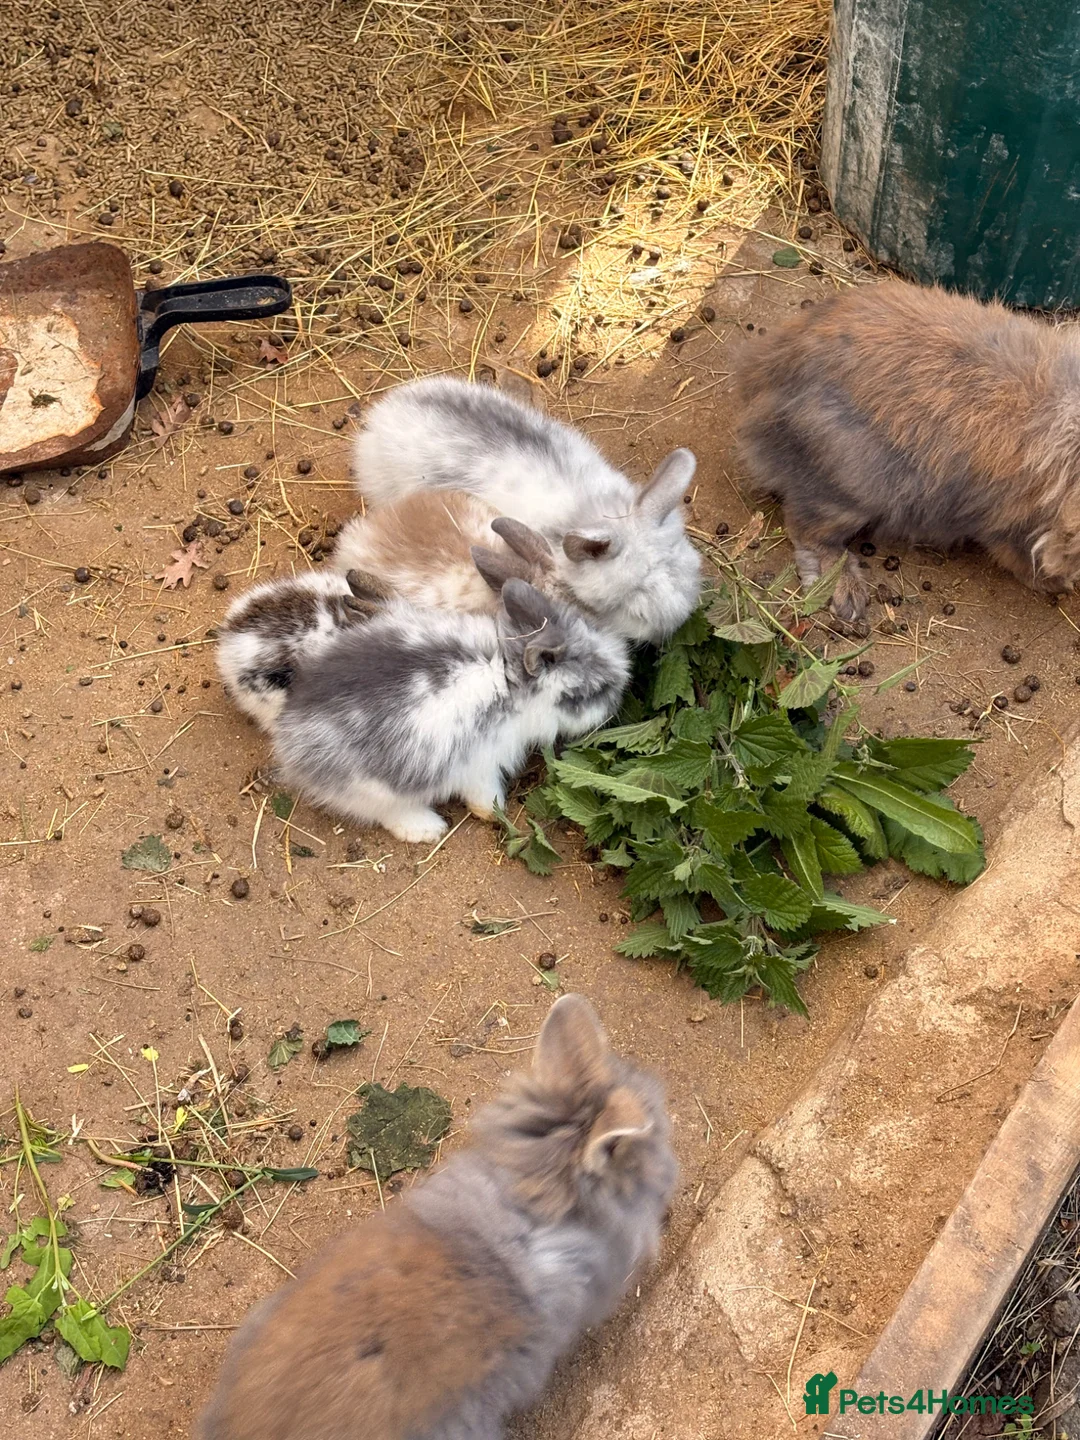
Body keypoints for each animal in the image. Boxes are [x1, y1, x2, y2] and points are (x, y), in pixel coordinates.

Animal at [271, 573, 630, 844]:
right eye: (592, 692)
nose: (617, 703)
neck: (508, 682)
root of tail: (291, 741)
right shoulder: (483, 763)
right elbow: (483, 795)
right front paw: (494, 812)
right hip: (377, 788)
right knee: (384, 812)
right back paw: (428, 828)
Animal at [735, 280, 1080, 622]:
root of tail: (762, 378)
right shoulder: (1012, 521)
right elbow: (1021, 554)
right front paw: (1055, 583)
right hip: (854, 488)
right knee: (808, 530)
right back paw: (848, 595)